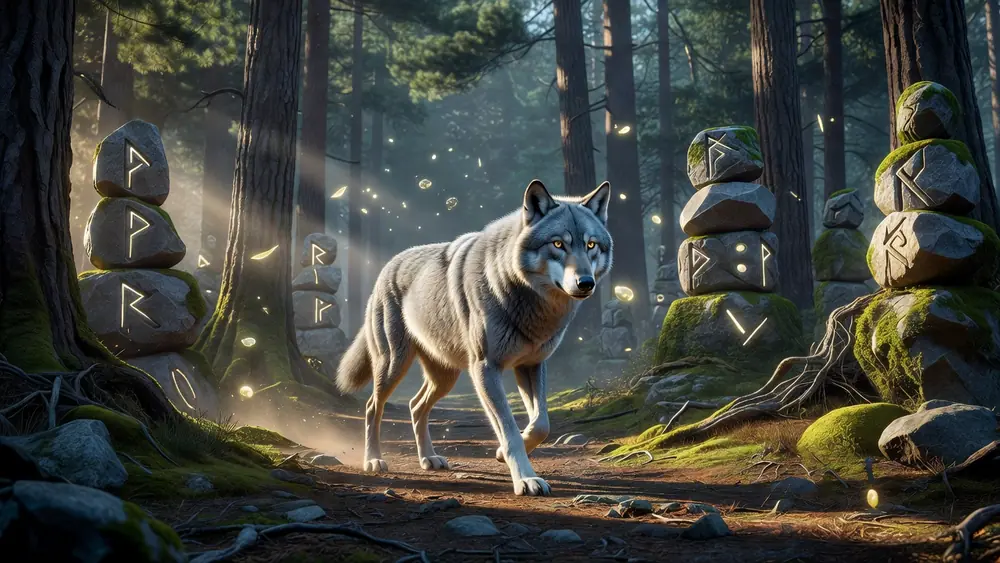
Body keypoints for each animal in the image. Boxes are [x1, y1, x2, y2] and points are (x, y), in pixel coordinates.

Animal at [336, 179, 613, 496]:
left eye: (591, 244)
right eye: (558, 244)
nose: (586, 283)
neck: (526, 299)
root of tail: (387, 266)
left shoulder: (531, 365)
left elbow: (541, 424)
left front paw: (502, 453)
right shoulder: (485, 369)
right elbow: (509, 429)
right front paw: (525, 479)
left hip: (445, 377)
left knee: (415, 406)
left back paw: (428, 458)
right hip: (394, 365)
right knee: (373, 406)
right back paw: (373, 460)